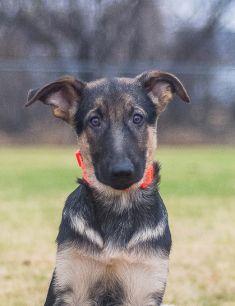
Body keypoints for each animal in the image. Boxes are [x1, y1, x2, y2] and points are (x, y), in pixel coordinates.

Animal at [26, 70, 189, 304]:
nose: (122, 171)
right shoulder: (70, 287)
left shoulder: (143, 287)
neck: (117, 203)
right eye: (95, 121)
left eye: (137, 118)